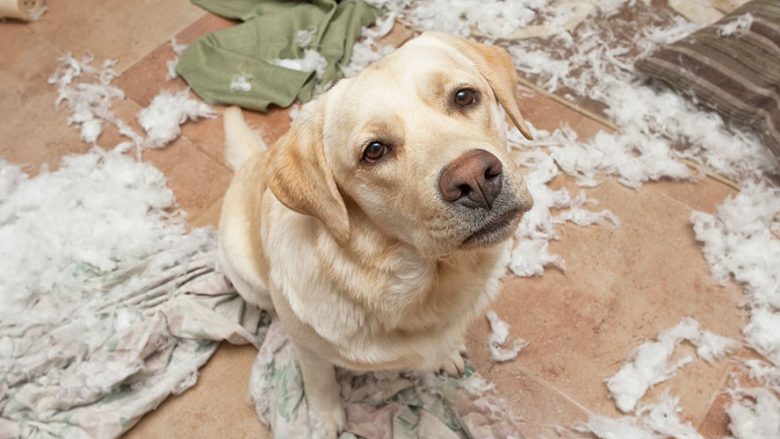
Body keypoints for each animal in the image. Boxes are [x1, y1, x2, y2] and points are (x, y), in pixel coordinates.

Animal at [221, 32, 536, 438]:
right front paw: (324, 417)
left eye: (464, 96)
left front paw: (448, 352)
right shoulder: (309, 351)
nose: (476, 179)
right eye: (374, 151)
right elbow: (319, 380)